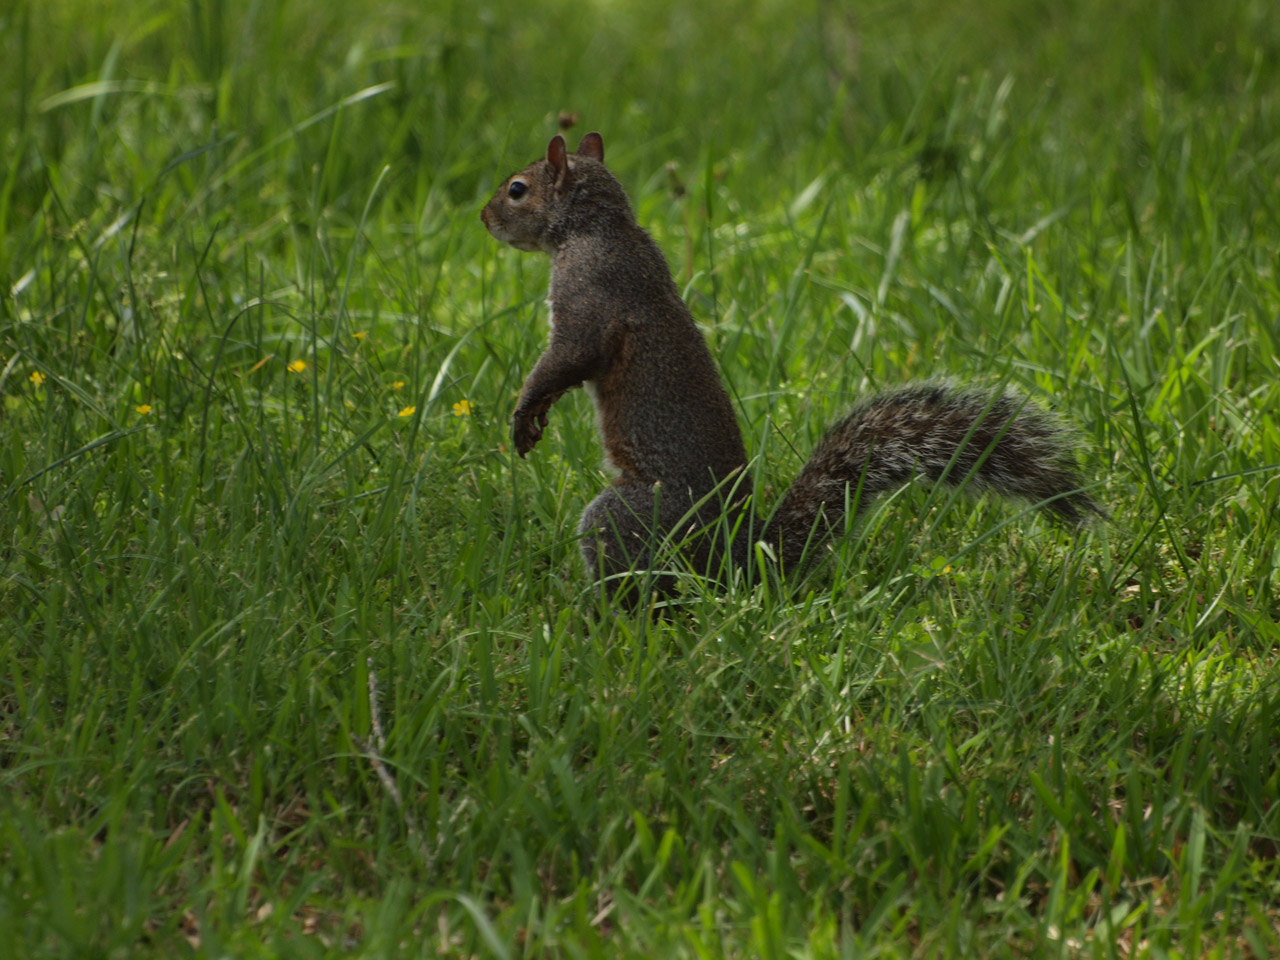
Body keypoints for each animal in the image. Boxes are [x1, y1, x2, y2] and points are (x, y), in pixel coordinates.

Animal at [481, 131, 1100, 599]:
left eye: (517, 189)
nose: (484, 218)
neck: (596, 227)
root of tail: (739, 564)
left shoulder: (590, 294)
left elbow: (569, 357)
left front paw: (525, 411)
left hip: (628, 516)